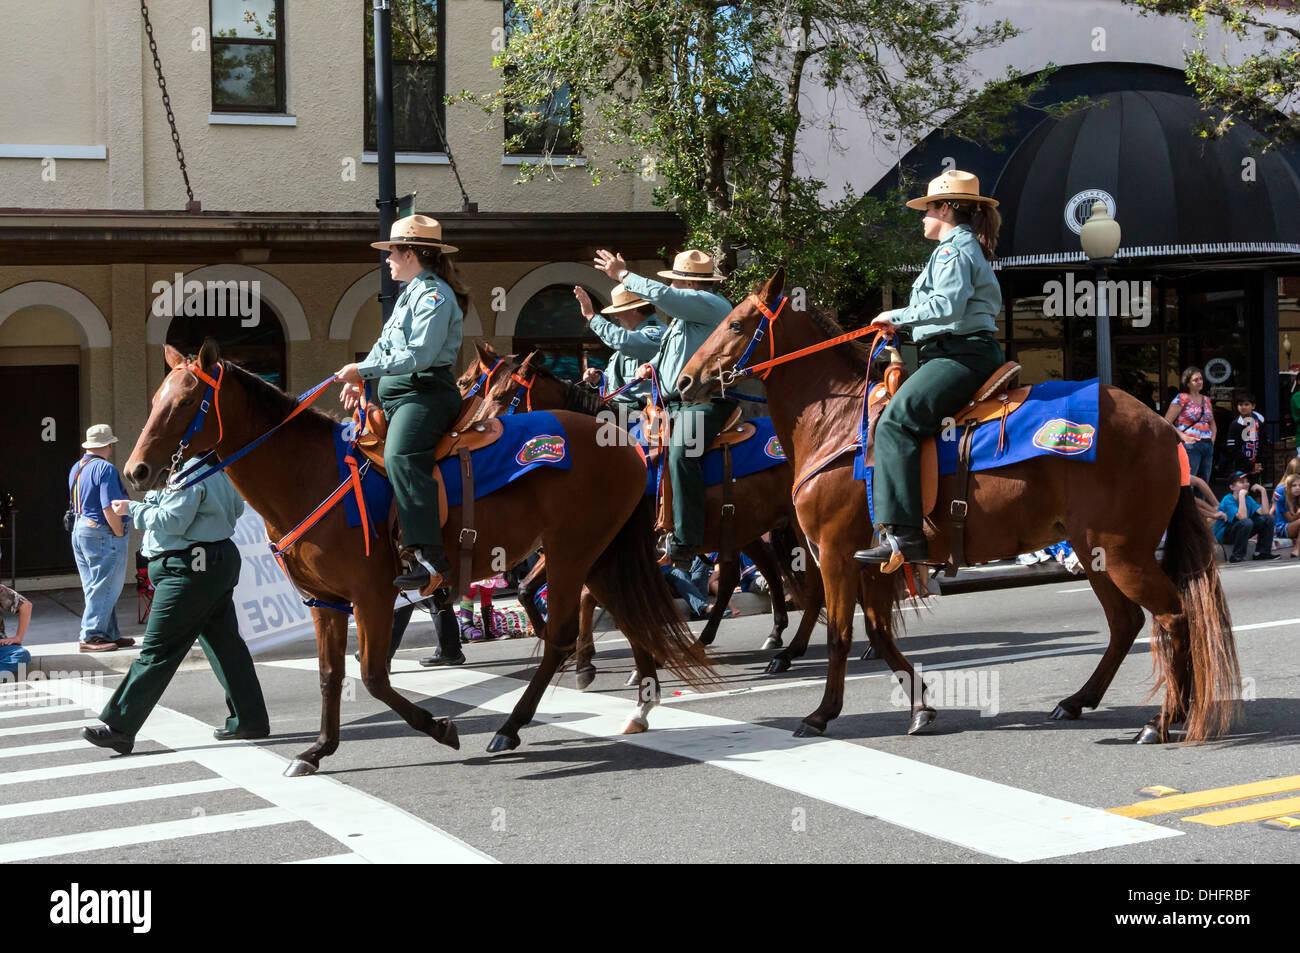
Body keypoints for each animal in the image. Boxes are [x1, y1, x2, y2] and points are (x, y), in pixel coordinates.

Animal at [125, 338, 717, 769]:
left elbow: (372, 676)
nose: (135, 471)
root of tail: (623, 443)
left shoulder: (371, 596)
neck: (309, 474)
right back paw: (639, 707)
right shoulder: (325, 602)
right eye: (153, 401)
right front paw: (317, 751)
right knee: (629, 615)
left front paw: (440, 727)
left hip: (573, 553)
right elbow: (330, 675)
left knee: (561, 637)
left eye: (184, 403)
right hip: (599, 553)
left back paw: (509, 728)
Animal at [460, 343, 821, 676]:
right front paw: (573, 651)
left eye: (503, 394)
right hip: (744, 525)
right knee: (757, 570)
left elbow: (592, 595)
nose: (477, 431)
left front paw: (588, 657)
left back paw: (785, 650)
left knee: (811, 578)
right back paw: (744, 637)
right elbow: (529, 589)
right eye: (486, 390)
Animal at [681, 271, 1237, 748]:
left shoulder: (836, 552)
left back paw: (1161, 721)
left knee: (1174, 617)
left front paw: (820, 715)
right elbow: (878, 632)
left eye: (735, 324)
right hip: (1094, 551)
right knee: (1126, 623)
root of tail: (1164, 428)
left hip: (1122, 553)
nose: (685, 383)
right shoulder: (875, 560)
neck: (837, 422)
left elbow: (841, 633)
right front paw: (920, 709)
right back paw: (1084, 702)